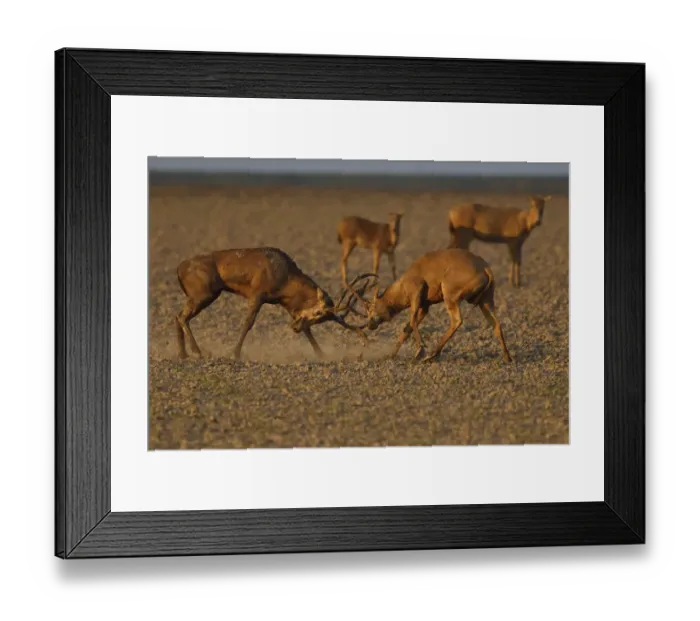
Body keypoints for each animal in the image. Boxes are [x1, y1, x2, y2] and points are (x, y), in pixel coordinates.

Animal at [174, 247, 370, 361]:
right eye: (318, 313)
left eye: (322, 318)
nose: (294, 328)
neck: (286, 278)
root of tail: (179, 268)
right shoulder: (258, 294)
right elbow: (248, 323)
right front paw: (235, 353)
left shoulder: (288, 306)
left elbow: (307, 330)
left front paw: (321, 354)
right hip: (204, 294)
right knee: (182, 317)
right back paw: (198, 351)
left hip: (202, 296)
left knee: (177, 316)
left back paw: (183, 354)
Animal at [345, 248, 512, 364]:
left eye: (370, 307)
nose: (370, 324)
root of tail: (485, 268)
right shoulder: (424, 307)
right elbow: (407, 328)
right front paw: (390, 355)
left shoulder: (416, 295)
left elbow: (412, 321)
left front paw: (420, 351)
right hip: (486, 301)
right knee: (496, 324)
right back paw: (507, 358)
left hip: (450, 296)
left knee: (457, 321)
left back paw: (431, 355)